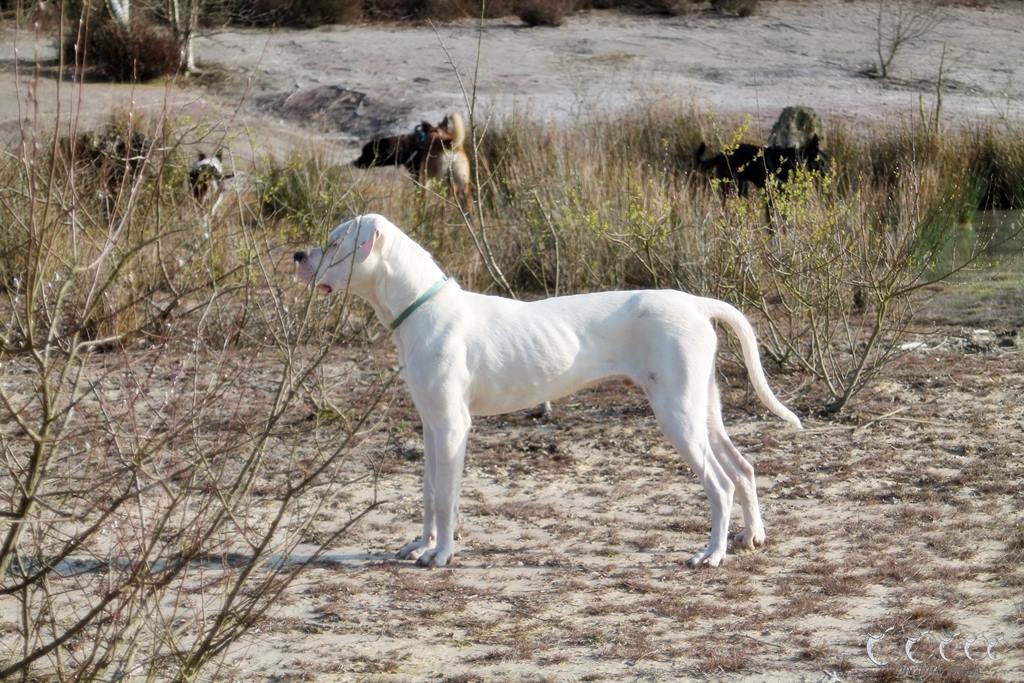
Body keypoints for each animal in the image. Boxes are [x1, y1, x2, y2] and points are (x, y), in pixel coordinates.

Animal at [292, 216, 802, 569]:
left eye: (335, 242)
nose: (298, 255)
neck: (421, 308)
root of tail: (695, 303)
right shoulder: (432, 425)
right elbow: (429, 493)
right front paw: (422, 545)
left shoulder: (454, 427)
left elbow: (446, 498)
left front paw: (441, 555)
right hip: (702, 408)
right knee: (742, 469)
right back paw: (751, 537)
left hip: (677, 414)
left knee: (720, 483)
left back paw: (711, 554)